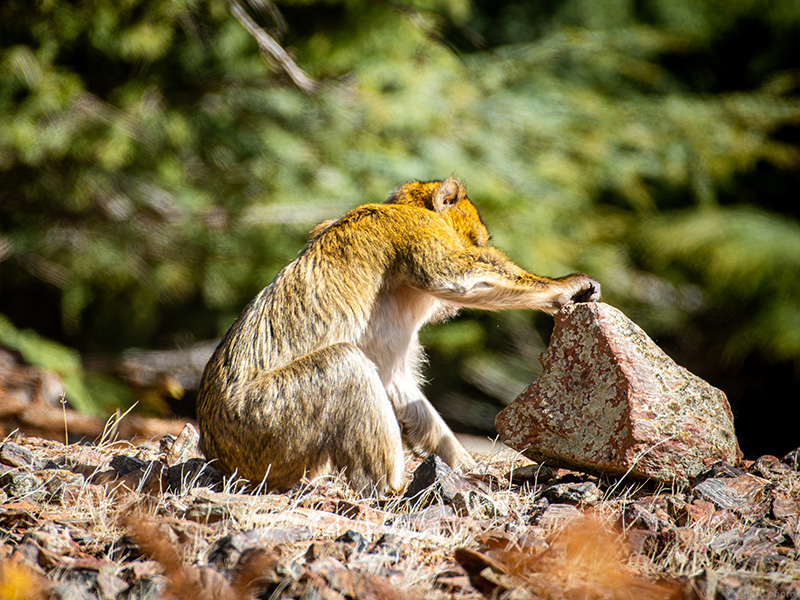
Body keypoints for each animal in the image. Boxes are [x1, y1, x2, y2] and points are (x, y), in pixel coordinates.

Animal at [196, 178, 600, 495]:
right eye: (475, 242)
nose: (478, 247)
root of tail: (218, 453)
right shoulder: (417, 228)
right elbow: (454, 277)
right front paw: (561, 288)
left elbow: (396, 384)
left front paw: (463, 463)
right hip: (263, 424)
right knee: (345, 363)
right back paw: (393, 486)